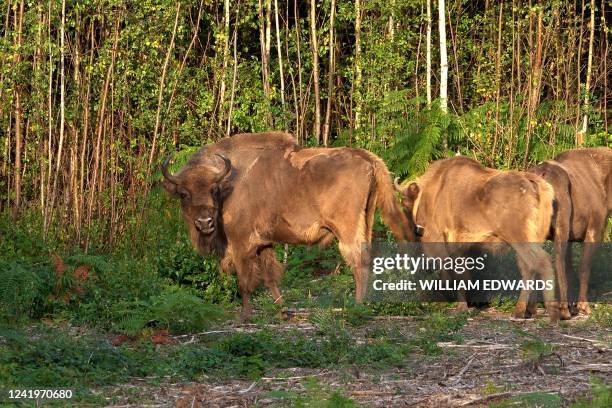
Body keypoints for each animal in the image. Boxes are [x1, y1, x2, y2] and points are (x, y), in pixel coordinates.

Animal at [161, 132, 416, 320]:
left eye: (213, 190)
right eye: (183, 193)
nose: (204, 223)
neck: (229, 182)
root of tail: (367, 157)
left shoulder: (241, 243)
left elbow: (245, 280)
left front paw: (245, 316)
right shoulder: (263, 243)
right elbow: (270, 276)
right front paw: (281, 310)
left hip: (347, 230)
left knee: (358, 262)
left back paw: (357, 306)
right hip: (368, 220)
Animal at [396, 155, 560, 322]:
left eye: (406, 203)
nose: (411, 233)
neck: (435, 190)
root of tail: (532, 182)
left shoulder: (447, 243)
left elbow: (457, 274)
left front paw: (461, 308)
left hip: (520, 239)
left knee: (541, 262)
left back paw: (547, 313)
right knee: (529, 268)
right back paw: (526, 311)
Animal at [528, 147, 608, 318]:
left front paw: (574, 306)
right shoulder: (595, 227)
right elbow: (584, 265)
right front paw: (583, 306)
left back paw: (530, 309)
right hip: (561, 220)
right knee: (557, 258)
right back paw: (563, 309)